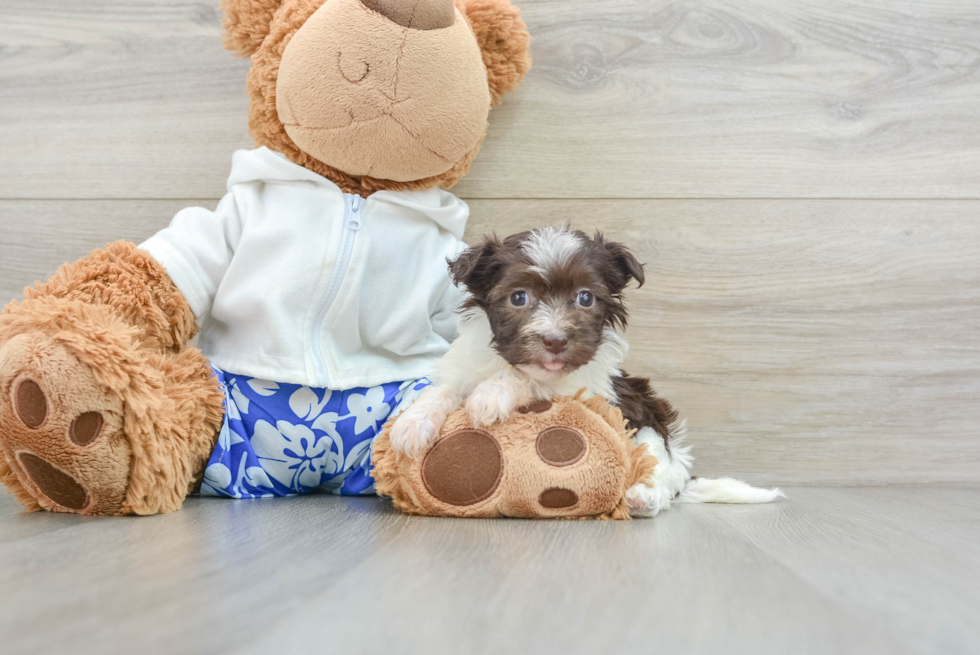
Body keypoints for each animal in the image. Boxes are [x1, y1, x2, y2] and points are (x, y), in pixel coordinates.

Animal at [390, 226, 780, 516]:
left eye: (585, 298)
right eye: (518, 297)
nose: (555, 340)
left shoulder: (585, 389)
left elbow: (530, 380)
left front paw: (492, 393)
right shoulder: (463, 367)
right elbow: (444, 389)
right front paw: (412, 423)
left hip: (650, 426)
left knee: (657, 471)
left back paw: (641, 497)